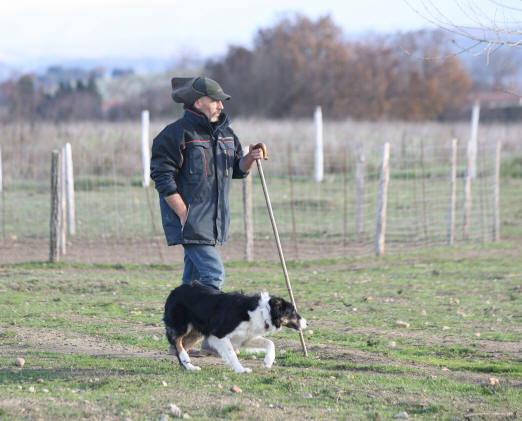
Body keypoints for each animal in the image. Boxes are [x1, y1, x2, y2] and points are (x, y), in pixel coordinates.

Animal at [160, 280, 302, 372]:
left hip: (196, 332)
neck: (262, 311)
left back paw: (189, 366)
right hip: (183, 326)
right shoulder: (219, 334)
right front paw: (241, 369)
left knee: (182, 346)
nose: (306, 323)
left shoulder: (245, 338)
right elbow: (231, 354)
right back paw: (187, 362)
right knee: (178, 344)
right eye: (293, 312)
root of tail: (175, 290)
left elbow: (270, 343)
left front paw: (268, 361)